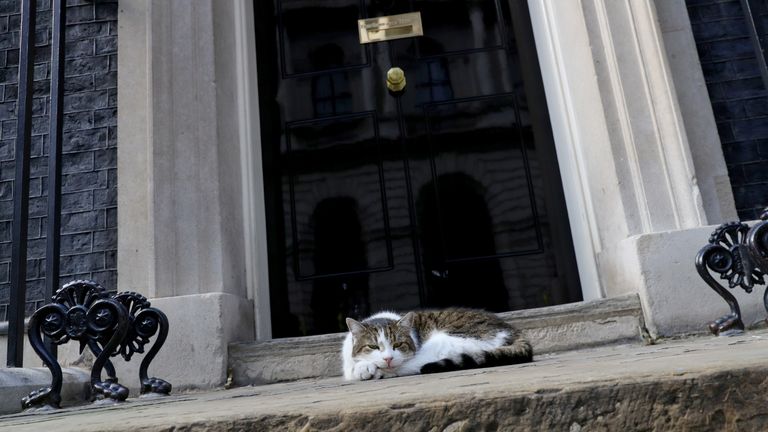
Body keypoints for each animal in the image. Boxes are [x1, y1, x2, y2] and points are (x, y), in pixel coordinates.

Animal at [344, 308, 536, 382]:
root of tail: (513, 330)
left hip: (447, 340)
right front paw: (363, 367)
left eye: (398, 344)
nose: (388, 358)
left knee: (416, 364)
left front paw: (366, 368)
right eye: (374, 347)